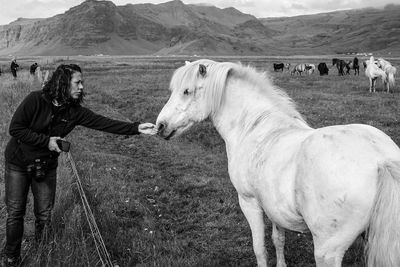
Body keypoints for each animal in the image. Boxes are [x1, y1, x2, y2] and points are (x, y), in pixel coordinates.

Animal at [155, 59, 400, 267]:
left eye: (186, 91)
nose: (160, 126)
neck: (254, 127)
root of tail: (381, 159)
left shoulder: (249, 202)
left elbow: (259, 248)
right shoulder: (274, 207)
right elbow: (278, 239)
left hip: (327, 250)